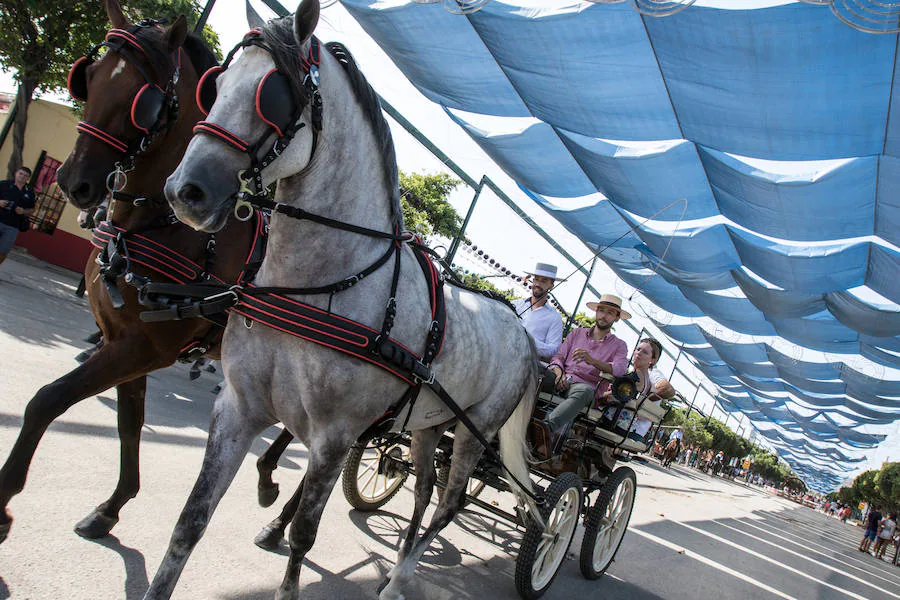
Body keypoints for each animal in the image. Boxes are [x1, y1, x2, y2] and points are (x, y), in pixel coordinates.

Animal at [0, 0, 256, 544]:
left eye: (146, 102)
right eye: (88, 77)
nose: (73, 181)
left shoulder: (141, 348)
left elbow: (46, 401)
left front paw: (3, 503)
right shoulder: (126, 342)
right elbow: (129, 422)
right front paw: (114, 505)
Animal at [146, 2, 540, 596]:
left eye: (272, 95)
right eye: (214, 86)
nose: (184, 192)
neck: (319, 284)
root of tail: (522, 330)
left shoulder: (335, 437)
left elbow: (304, 538)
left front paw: (286, 548)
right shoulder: (238, 407)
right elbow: (190, 522)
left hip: (475, 433)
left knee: (449, 503)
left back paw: (400, 576)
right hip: (427, 426)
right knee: (423, 488)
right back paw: (401, 557)